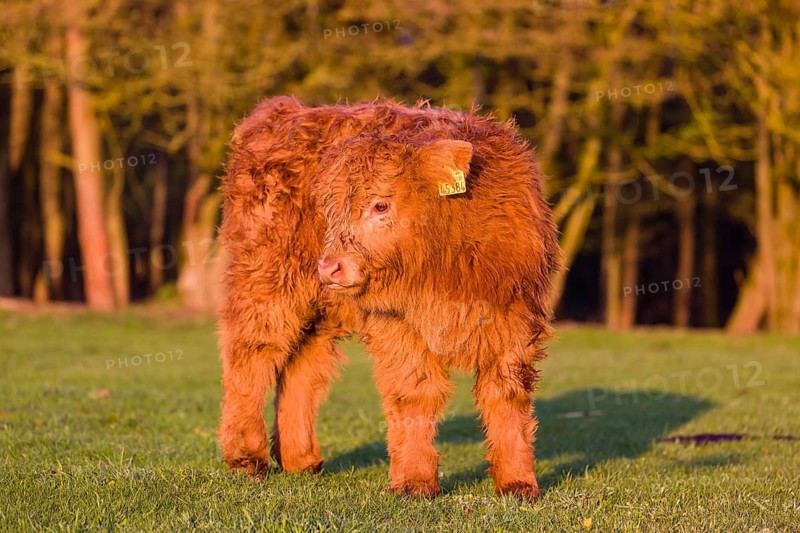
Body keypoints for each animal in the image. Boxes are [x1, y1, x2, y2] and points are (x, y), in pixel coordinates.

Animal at [217, 96, 560, 499]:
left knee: (303, 367)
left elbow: (508, 395)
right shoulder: (397, 324)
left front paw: (518, 482)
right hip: (264, 279)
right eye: (329, 209)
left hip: (319, 309)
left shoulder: (516, 321)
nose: (329, 267)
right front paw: (414, 481)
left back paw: (300, 460)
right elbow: (414, 392)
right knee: (253, 353)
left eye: (380, 205)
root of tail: (285, 110)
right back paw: (245, 457)